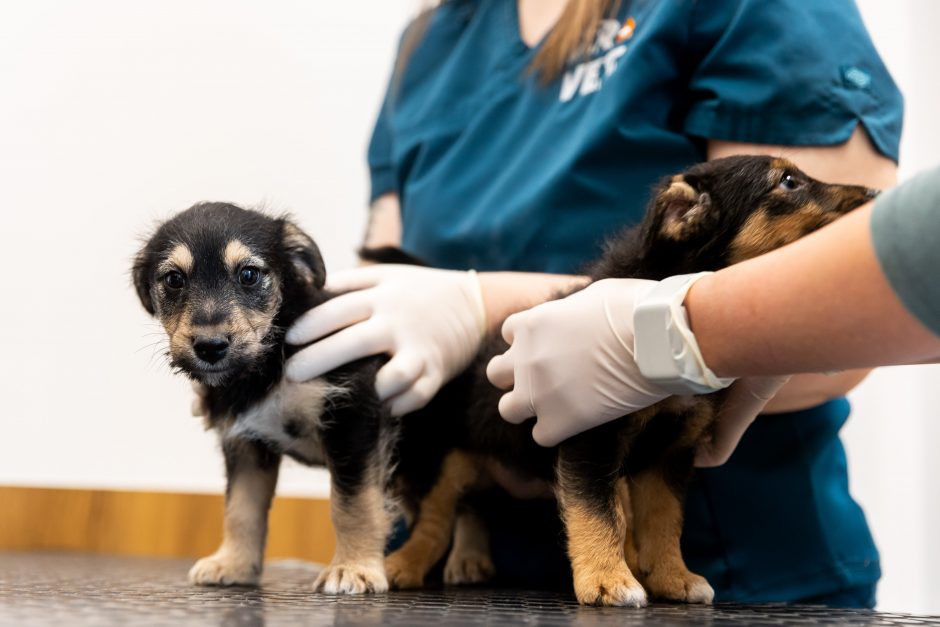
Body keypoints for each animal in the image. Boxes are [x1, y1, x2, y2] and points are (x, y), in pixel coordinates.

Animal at [134, 205, 394, 592]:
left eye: (249, 274)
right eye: (174, 280)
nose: (210, 347)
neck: (269, 361)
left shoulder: (352, 418)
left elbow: (354, 503)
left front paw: (354, 567)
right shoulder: (245, 441)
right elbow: (241, 509)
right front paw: (233, 564)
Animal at [384, 156, 880, 608]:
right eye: (789, 181)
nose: (876, 195)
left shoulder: (671, 451)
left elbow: (663, 520)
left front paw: (673, 578)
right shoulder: (588, 434)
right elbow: (599, 512)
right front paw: (607, 581)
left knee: (472, 510)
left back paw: (471, 561)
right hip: (445, 453)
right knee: (436, 516)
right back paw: (404, 565)